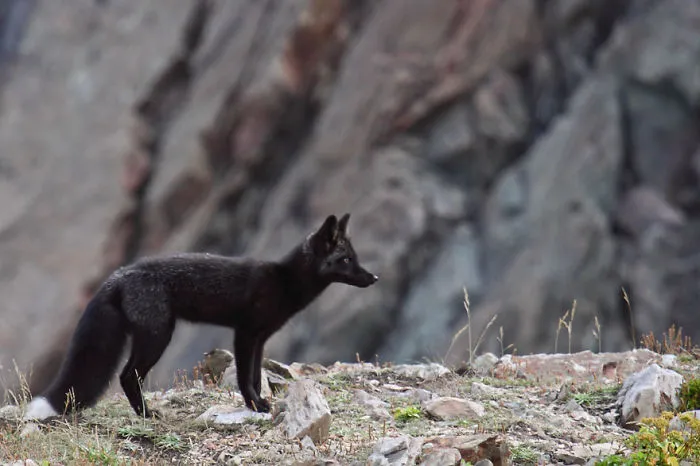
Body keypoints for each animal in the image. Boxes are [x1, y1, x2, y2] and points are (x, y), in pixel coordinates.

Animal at [24, 213, 378, 421]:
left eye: (355, 257)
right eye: (346, 259)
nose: (374, 278)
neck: (284, 281)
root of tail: (118, 275)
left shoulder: (261, 338)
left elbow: (254, 375)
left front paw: (260, 403)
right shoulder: (245, 333)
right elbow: (245, 378)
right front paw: (254, 406)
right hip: (158, 337)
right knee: (127, 376)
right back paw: (147, 414)